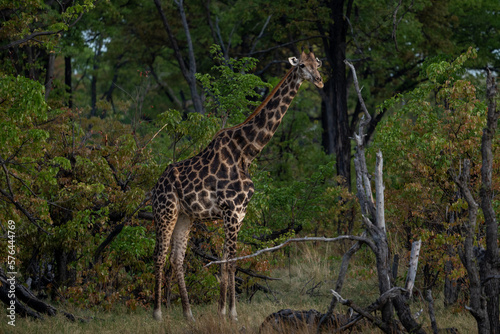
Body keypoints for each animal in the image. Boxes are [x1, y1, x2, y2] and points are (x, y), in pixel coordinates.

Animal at [152, 51, 324, 322]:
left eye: (317, 64)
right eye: (302, 66)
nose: (319, 81)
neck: (248, 151)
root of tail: (155, 186)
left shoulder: (240, 211)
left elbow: (227, 260)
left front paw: (223, 310)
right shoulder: (231, 209)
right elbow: (231, 261)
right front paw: (231, 312)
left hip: (184, 215)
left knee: (177, 258)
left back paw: (188, 314)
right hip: (165, 211)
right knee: (159, 255)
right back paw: (158, 313)